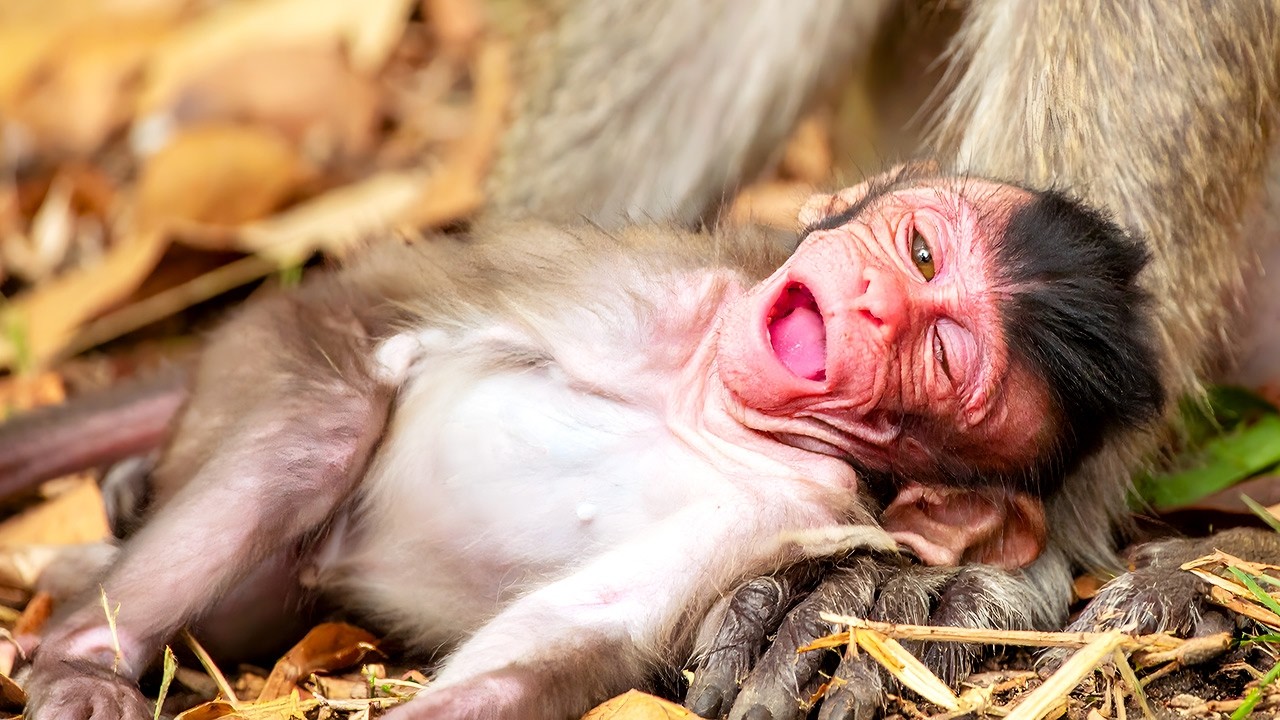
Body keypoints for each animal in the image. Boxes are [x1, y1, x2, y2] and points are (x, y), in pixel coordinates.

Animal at [20, 167, 1162, 720]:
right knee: (321, 413)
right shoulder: (652, 290)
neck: (716, 404)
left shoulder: (786, 509)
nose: (880, 302)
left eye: (941, 352)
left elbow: (582, 629)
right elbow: (379, 349)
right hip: (256, 349)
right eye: (920, 251)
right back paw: (83, 639)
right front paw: (81, 658)